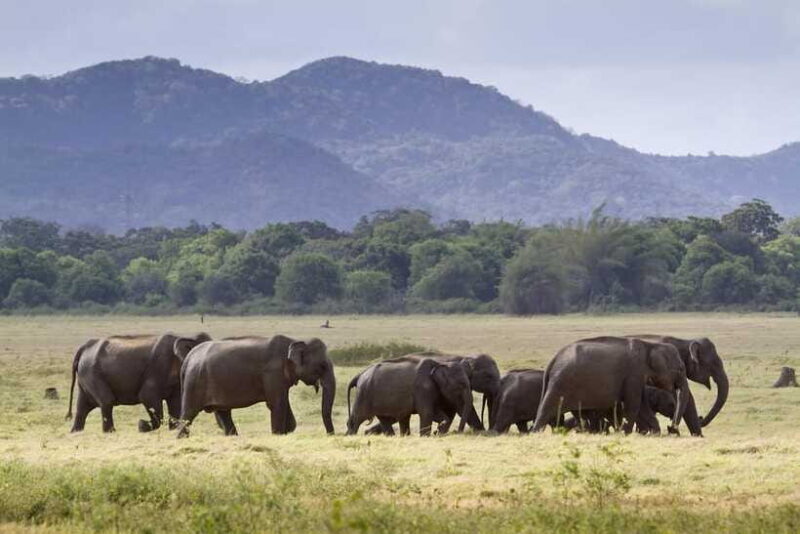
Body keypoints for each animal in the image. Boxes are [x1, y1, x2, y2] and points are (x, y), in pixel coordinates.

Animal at [66, 332, 211, 433]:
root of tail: (84, 347)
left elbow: (175, 404)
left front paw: (172, 429)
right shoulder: (157, 370)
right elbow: (147, 397)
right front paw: (141, 425)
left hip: (86, 376)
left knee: (82, 408)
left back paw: (76, 432)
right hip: (92, 373)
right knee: (106, 401)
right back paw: (110, 432)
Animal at [176, 336, 335, 437]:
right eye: (322, 366)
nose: (330, 435)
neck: (294, 340)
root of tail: (188, 358)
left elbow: (284, 404)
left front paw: (287, 431)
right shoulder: (272, 373)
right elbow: (277, 404)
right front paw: (277, 435)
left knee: (223, 413)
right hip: (194, 383)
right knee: (188, 415)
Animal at [532, 336, 690, 434]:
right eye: (681, 369)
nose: (671, 428)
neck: (650, 345)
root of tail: (553, 360)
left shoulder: (637, 377)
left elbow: (643, 406)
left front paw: (655, 433)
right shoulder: (634, 374)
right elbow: (634, 405)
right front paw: (626, 433)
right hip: (560, 383)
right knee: (545, 410)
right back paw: (535, 433)